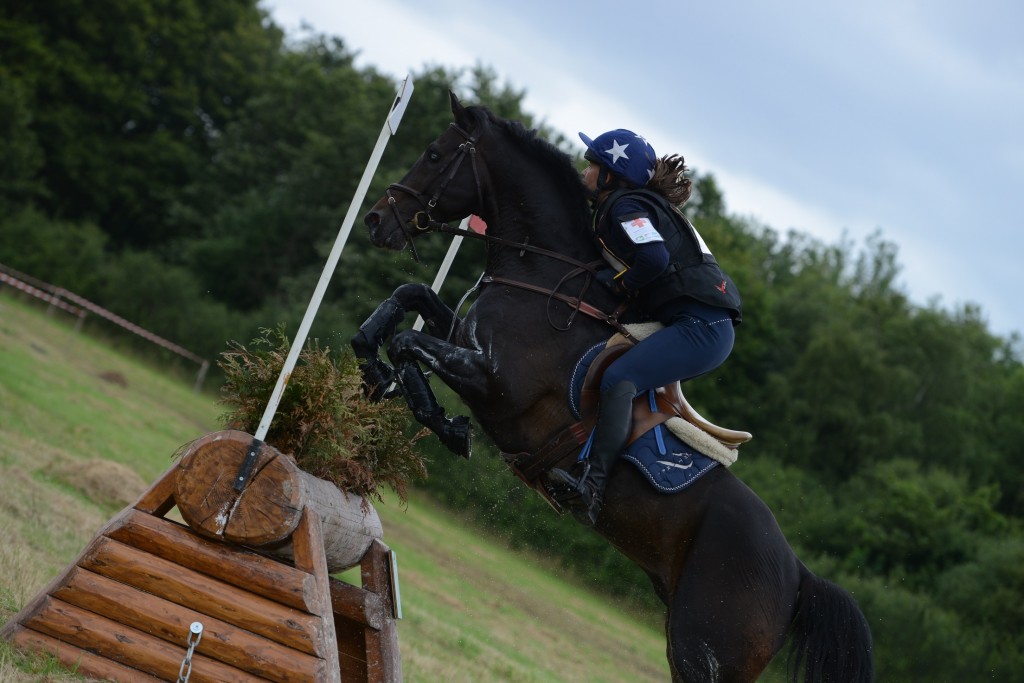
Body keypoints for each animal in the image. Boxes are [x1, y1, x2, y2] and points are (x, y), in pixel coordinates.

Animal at [352, 92, 872, 683]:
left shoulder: (495, 382)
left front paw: (445, 424)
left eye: (435, 154)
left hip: (704, 649)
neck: (540, 274)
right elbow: (407, 297)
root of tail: (799, 573)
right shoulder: (464, 338)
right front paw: (372, 365)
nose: (376, 220)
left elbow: (409, 346)